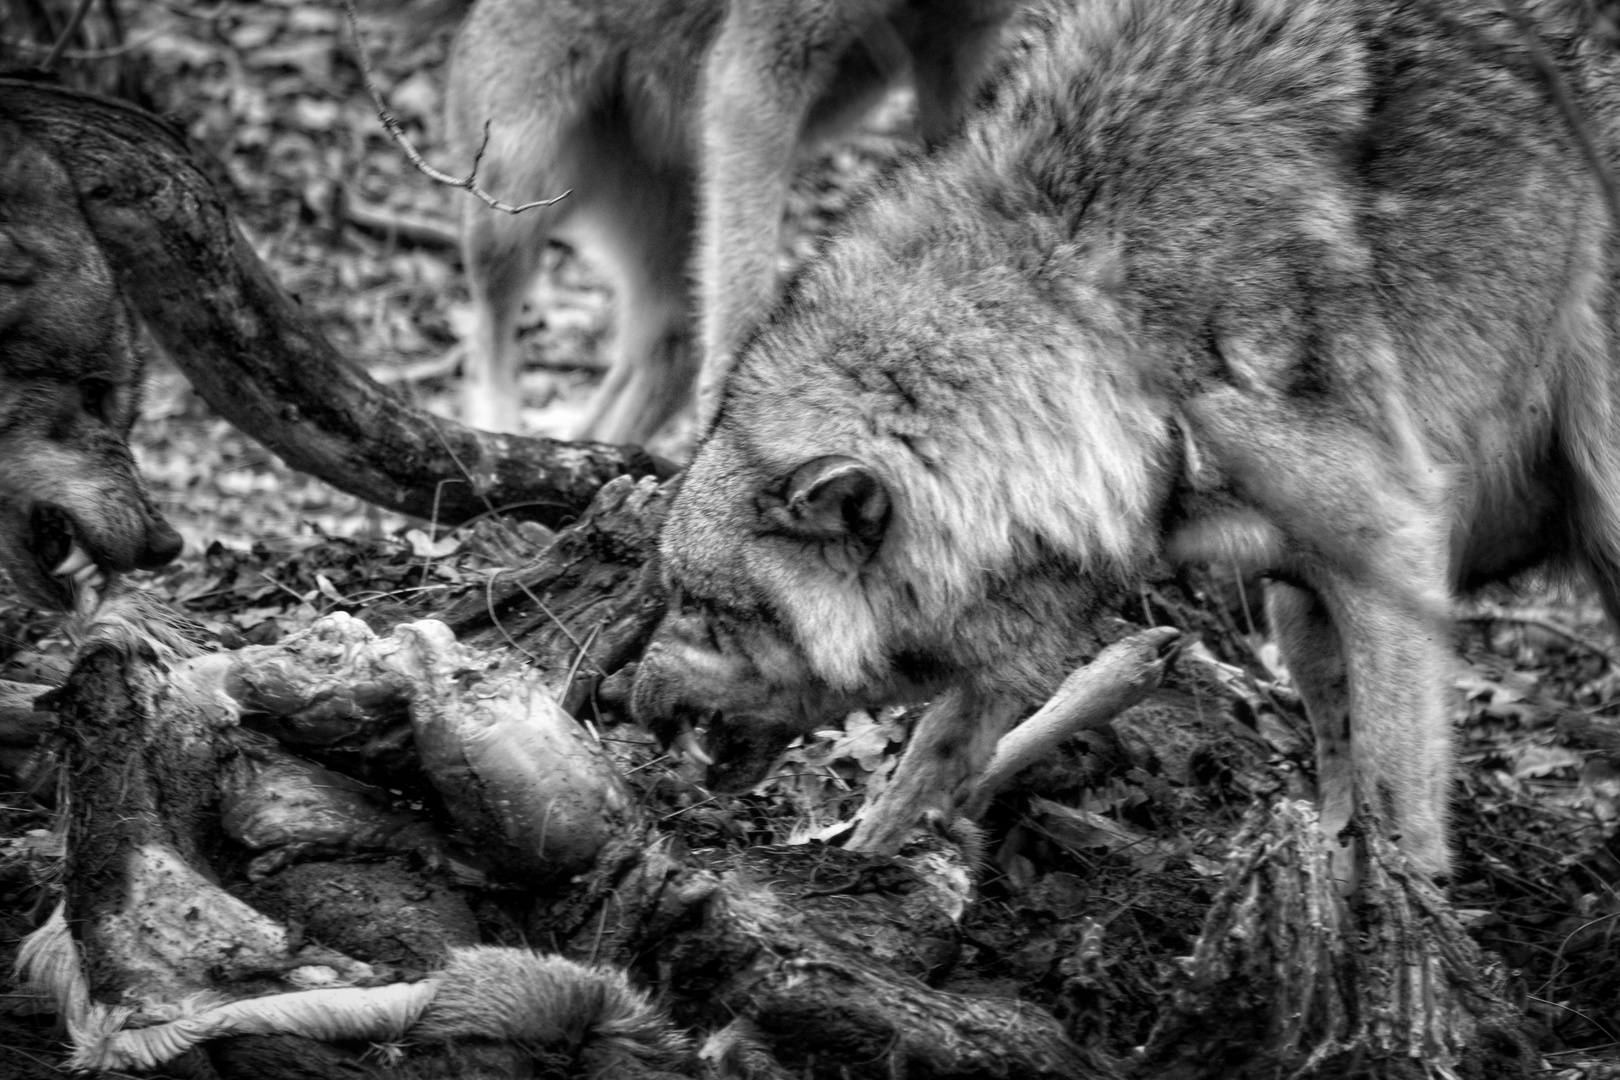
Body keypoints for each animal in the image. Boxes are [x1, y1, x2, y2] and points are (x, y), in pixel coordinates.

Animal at [443, 0, 1023, 443]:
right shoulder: (759, 70)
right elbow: (743, 306)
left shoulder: (964, 39)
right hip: (516, 197)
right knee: (486, 346)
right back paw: (504, 442)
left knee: (665, 352)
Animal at [625, 0, 1620, 880]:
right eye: (678, 596)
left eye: (706, 608)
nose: (629, 699)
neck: (1099, 318)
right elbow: (936, 752)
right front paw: (865, 867)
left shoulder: (1396, 549)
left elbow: (1402, 811)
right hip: (1295, 614)